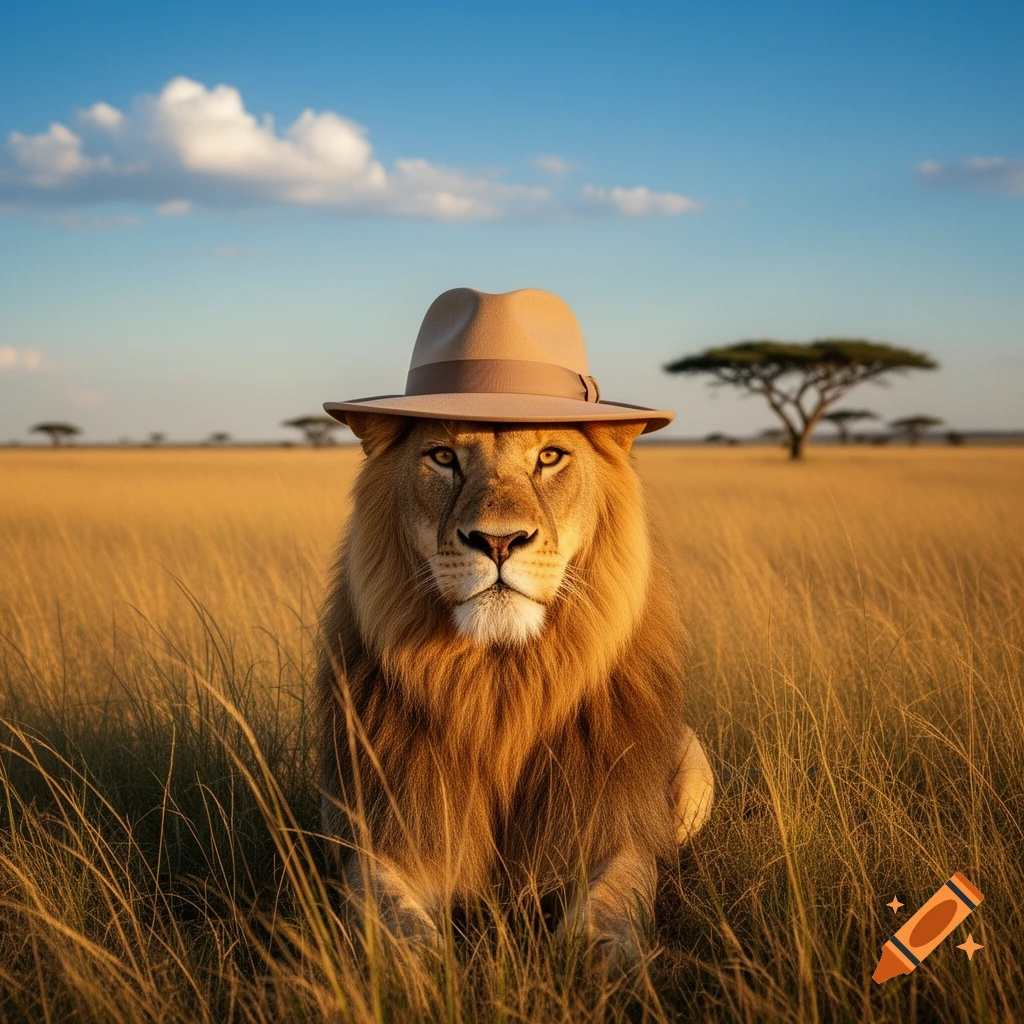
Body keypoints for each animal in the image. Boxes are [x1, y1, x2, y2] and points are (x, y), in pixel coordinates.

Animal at [315, 412, 713, 963]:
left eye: (549, 456)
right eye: (443, 457)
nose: (498, 542)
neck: (501, 687)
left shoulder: (614, 830)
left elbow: (614, 902)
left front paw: (598, 963)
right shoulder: (383, 834)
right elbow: (392, 918)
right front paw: (420, 968)